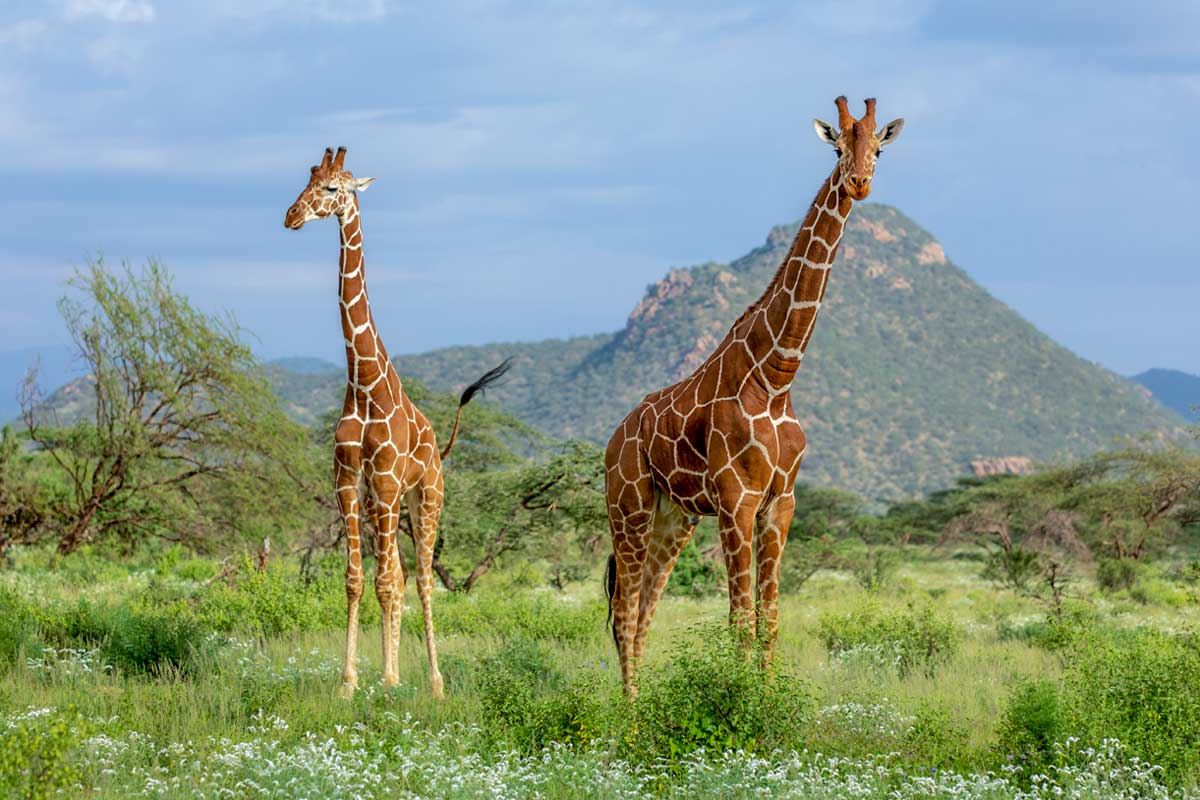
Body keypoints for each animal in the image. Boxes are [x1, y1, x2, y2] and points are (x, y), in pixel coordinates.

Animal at [285, 146, 511, 695]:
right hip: (384, 502)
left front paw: (388, 681)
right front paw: (349, 683)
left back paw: (433, 681)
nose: (291, 217)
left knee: (424, 578)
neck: (364, 382)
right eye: (306, 182)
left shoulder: (387, 481)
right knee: (404, 576)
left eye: (332, 189)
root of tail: (438, 445)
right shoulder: (349, 481)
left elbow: (386, 581)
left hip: (426, 497)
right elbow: (357, 579)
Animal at [604, 95, 902, 695]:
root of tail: (610, 441)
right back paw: (626, 711)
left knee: (644, 608)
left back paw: (638, 702)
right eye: (838, 146)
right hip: (628, 507)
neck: (777, 376)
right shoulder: (736, 501)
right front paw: (741, 703)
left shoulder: (779, 504)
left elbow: (771, 618)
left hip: (674, 518)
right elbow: (740, 619)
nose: (859, 182)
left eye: (878, 148)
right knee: (624, 610)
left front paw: (766, 699)